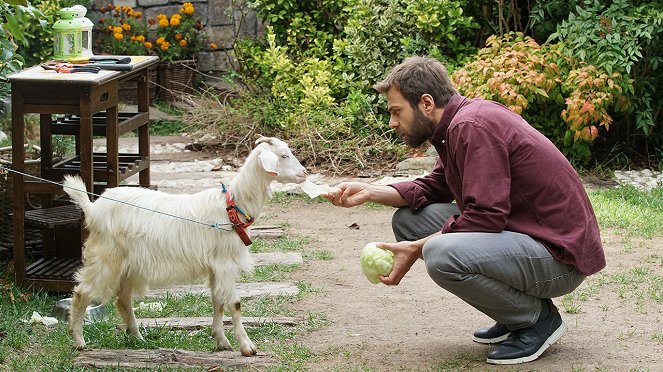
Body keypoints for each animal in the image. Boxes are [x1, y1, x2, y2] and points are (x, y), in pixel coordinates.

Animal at [62, 136, 306, 354]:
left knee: (123, 300)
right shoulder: (225, 263)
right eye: (284, 155)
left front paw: (221, 340)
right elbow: (235, 303)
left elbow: (217, 301)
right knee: (82, 292)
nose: (304, 173)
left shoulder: (215, 266)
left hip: (127, 265)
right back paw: (79, 340)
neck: (233, 206)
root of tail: (92, 208)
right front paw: (247, 347)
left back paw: (138, 338)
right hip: (105, 258)